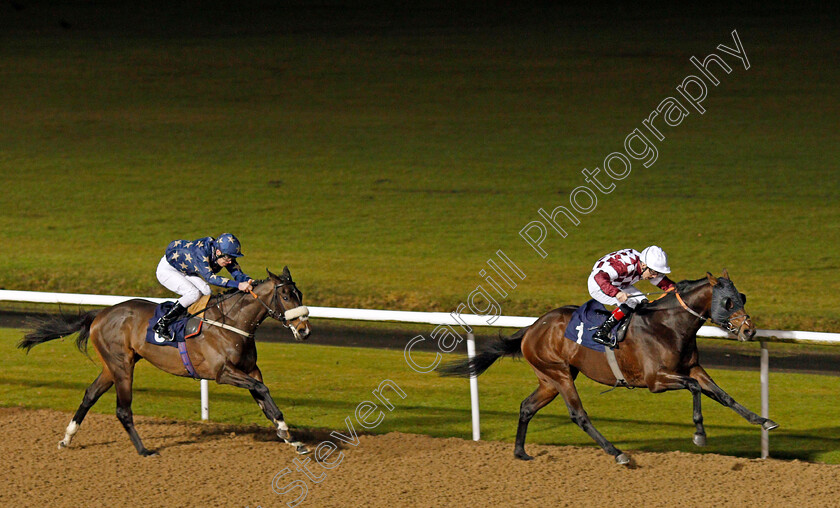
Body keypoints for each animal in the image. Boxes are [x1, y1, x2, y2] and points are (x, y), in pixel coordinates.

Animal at [17, 266, 312, 456]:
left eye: (300, 294)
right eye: (286, 296)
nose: (305, 330)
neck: (232, 322)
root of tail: (100, 314)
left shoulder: (250, 369)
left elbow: (265, 399)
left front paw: (290, 437)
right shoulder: (223, 372)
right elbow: (262, 390)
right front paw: (285, 433)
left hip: (112, 366)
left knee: (90, 394)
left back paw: (67, 438)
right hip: (122, 366)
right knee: (123, 409)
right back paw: (144, 450)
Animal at [442, 272, 776, 466]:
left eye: (742, 297)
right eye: (728, 301)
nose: (749, 331)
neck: (668, 325)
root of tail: (533, 327)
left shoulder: (692, 367)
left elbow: (723, 395)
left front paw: (763, 420)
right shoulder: (656, 380)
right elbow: (695, 390)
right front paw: (699, 434)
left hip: (550, 379)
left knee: (526, 406)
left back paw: (520, 452)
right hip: (560, 375)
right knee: (579, 415)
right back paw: (618, 453)